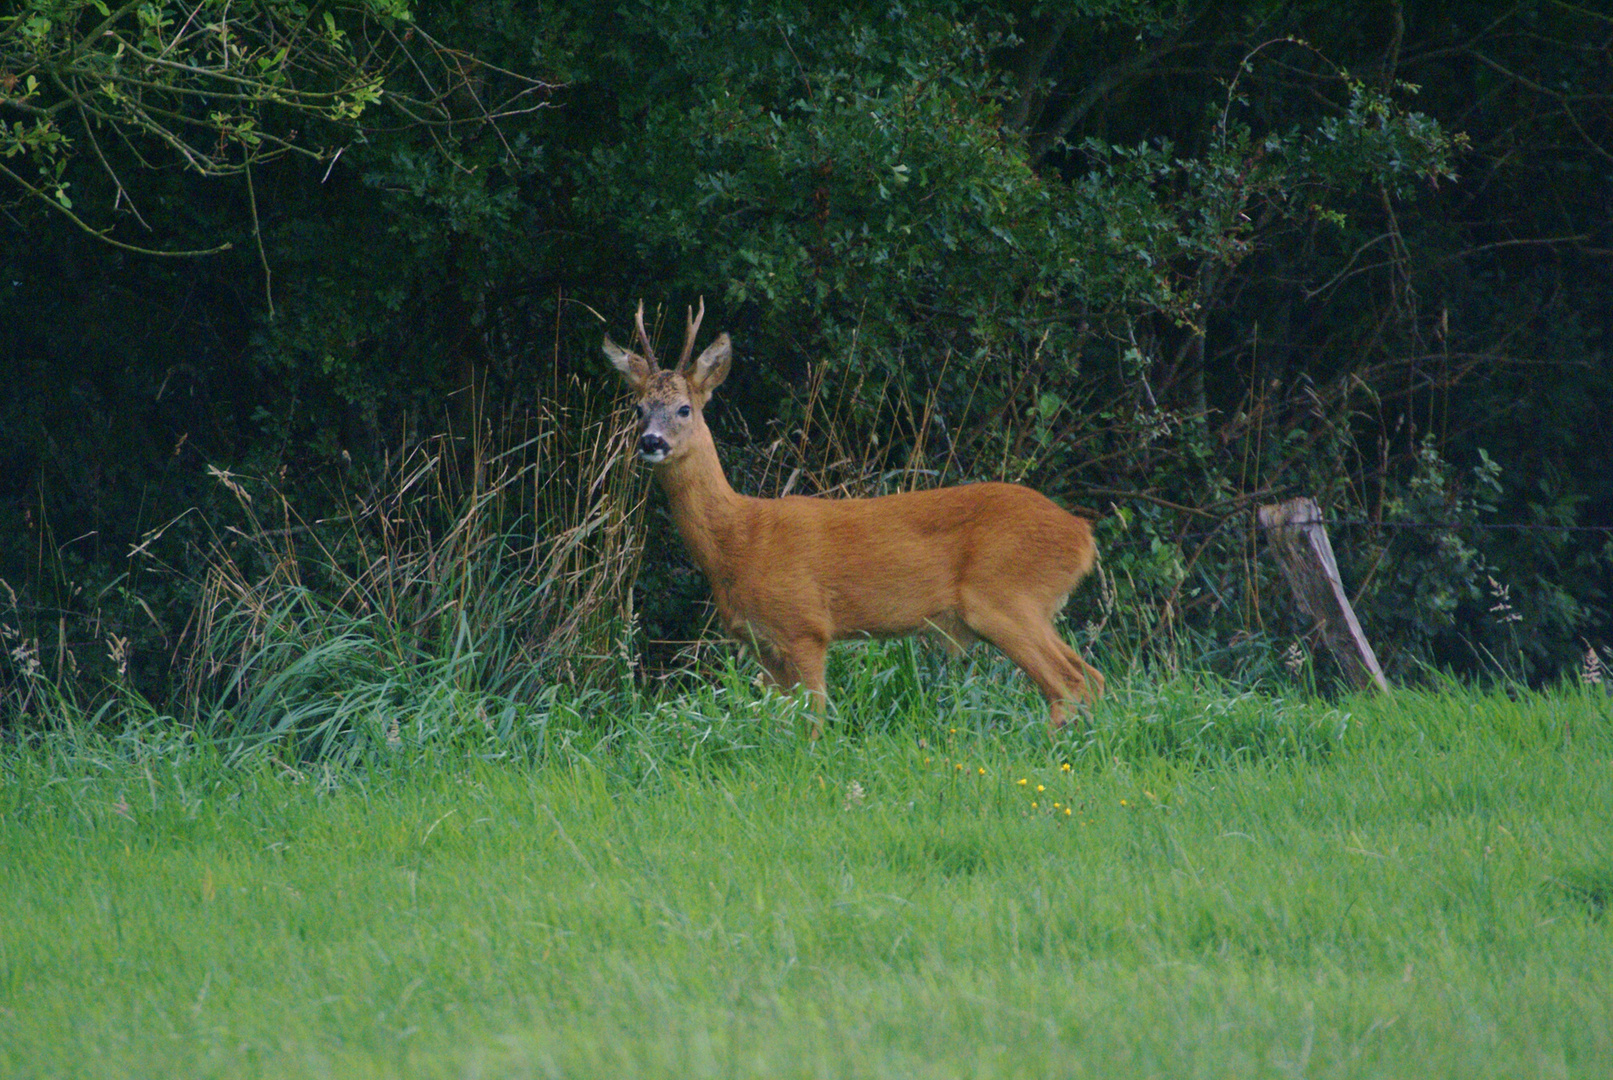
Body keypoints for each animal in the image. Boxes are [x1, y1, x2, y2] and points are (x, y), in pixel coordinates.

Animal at [603, 298, 1096, 735]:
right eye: (638, 408)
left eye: (684, 409)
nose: (651, 441)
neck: (740, 539)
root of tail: (1082, 535)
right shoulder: (761, 643)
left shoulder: (806, 625)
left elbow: (814, 720)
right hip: (1026, 606)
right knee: (1090, 676)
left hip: (1006, 596)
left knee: (1069, 684)